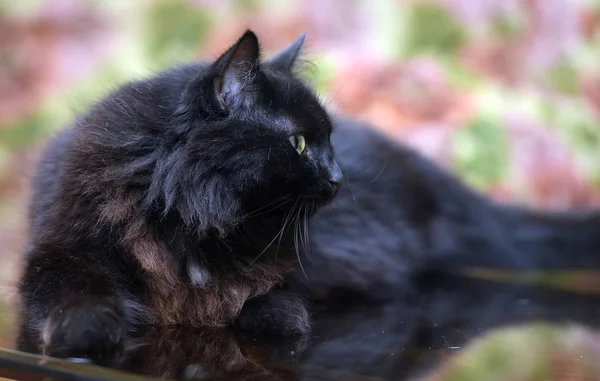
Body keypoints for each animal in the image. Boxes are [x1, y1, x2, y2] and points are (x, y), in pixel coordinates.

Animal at [16, 30, 340, 366]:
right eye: (298, 143)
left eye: (330, 142)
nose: (337, 177)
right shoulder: (64, 247)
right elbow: (78, 290)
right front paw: (88, 330)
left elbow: (265, 302)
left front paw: (281, 314)